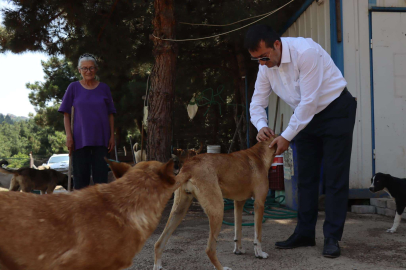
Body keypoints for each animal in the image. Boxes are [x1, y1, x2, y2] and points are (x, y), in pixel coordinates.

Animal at [154, 139, 278, 270]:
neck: (259, 153)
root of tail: (189, 166)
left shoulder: (238, 203)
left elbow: (238, 230)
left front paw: (238, 249)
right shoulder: (259, 203)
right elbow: (258, 234)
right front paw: (259, 253)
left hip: (179, 212)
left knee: (158, 243)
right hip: (218, 210)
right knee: (210, 249)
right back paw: (222, 268)